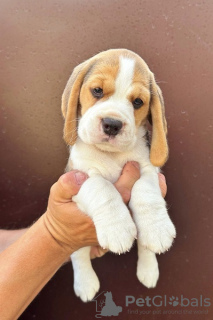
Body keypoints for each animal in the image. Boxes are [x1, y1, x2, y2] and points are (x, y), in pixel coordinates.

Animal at [61, 48, 176, 302]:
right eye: (97, 90)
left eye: (138, 102)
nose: (112, 124)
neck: (111, 155)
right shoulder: (79, 177)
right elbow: (102, 188)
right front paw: (118, 228)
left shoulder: (148, 169)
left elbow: (145, 191)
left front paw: (157, 228)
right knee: (78, 256)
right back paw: (85, 283)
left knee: (145, 245)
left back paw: (148, 269)